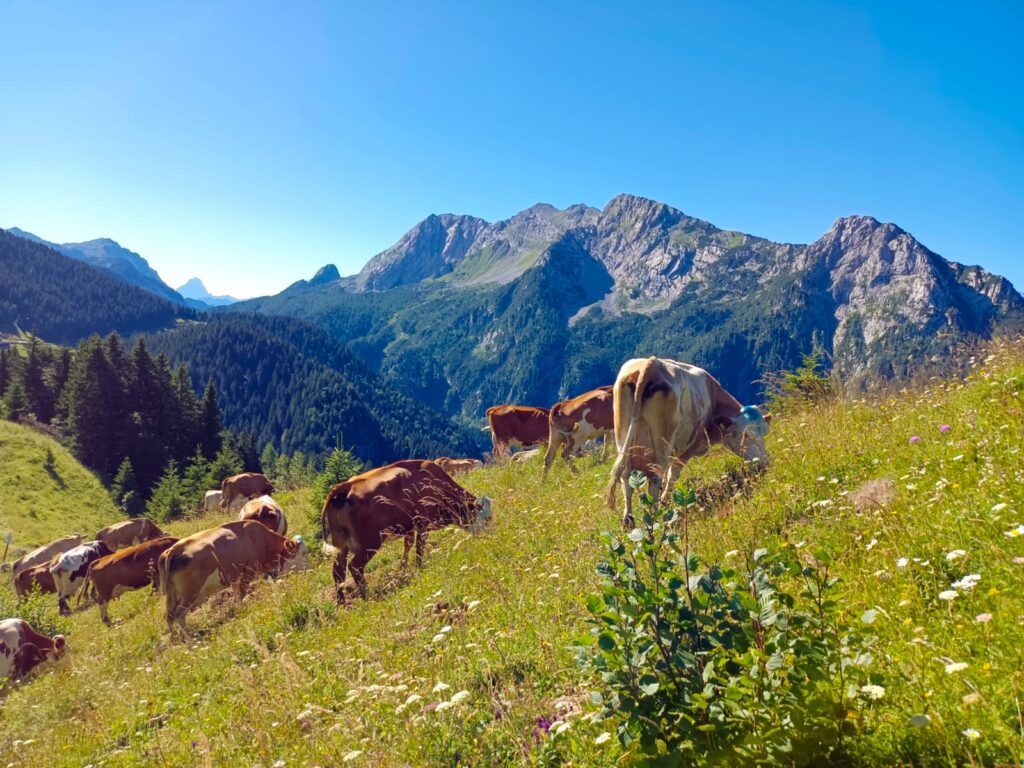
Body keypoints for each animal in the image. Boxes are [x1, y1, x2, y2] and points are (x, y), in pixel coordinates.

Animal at [159, 520, 308, 634]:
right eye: (304, 553)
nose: (309, 569)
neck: (262, 539)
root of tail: (173, 549)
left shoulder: (235, 577)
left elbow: (237, 594)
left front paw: (236, 610)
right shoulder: (249, 570)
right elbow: (241, 593)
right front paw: (242, 611)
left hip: (172, 594)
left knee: (169, 615)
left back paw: (174, 637)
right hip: (190, 593)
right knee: (179, 614)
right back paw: (188, 638)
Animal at [320, 459, 492, 603]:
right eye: (487, 518)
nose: (489, 537)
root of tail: (343, 487)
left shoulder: (409, 527)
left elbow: (407, 546)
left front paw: (403, 569)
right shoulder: (422, 523)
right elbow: (419, 548)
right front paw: (419, 568)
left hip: (341, 544)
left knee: (337, 571)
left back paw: (342, 602)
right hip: (369, 542)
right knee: (355, 567)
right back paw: (366, 595)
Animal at [606, 357, 771, 527]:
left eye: (765, 432)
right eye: (745, 435)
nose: (764, 462)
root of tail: (651, 363)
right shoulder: (691, 444)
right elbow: (673, 474)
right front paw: (665, 501)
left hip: (623, 439)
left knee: (626, 478)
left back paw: (628, 520)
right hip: (662, 446)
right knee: (654, 478)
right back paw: (655, 517)